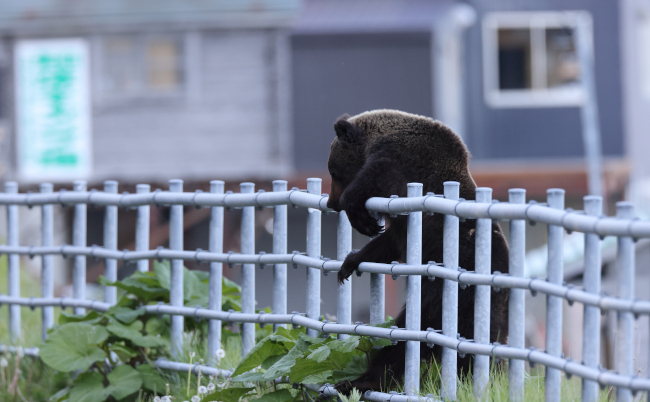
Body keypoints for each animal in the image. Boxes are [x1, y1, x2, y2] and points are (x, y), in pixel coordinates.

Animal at [326, 109, 510, 394]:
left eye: (333, 171)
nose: (331, 202)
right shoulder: (402, 224)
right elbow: (388, 243)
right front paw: (350, 262)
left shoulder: (399, 162)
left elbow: (374, 177)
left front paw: (360, 216)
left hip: (450, 293)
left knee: (408, 336)